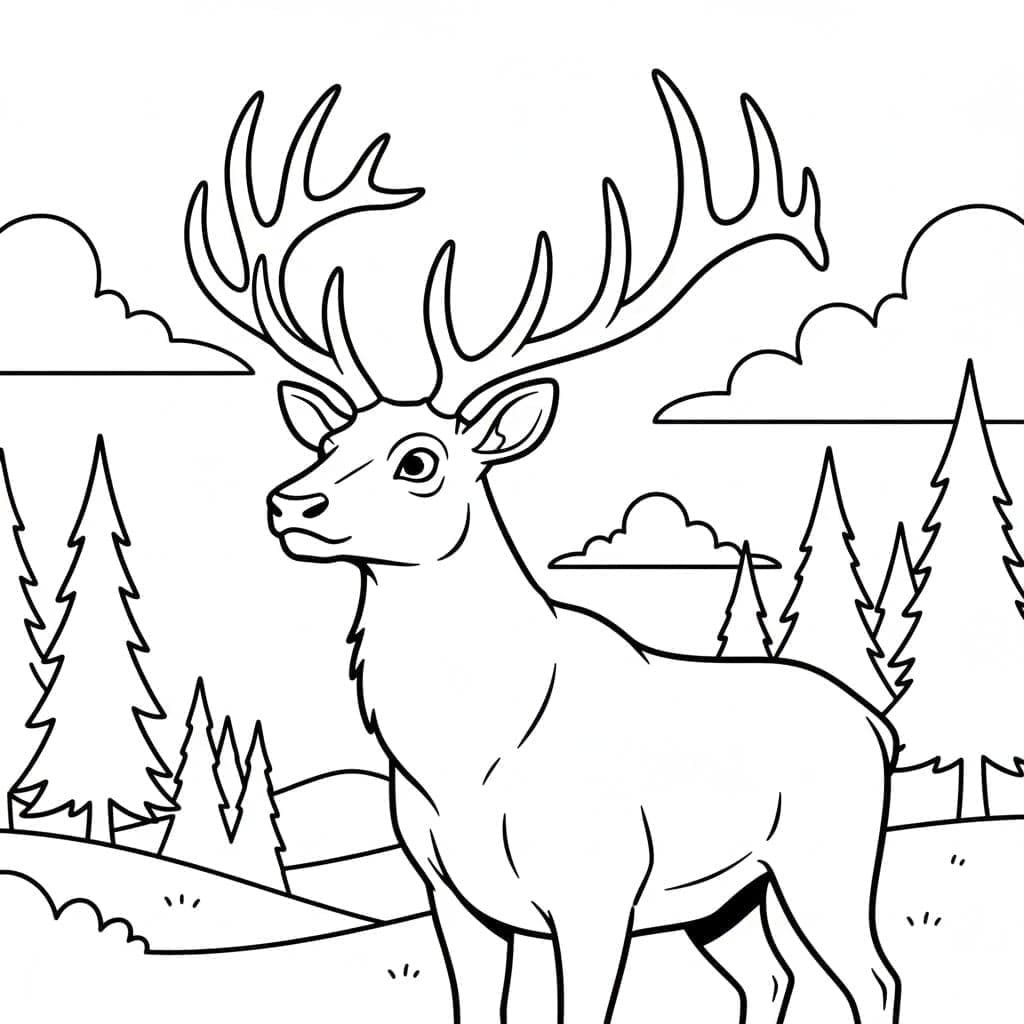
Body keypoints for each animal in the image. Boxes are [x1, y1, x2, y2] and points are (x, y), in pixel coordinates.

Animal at [186, 74, 900, 1024]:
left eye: (421, 460)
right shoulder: (452, 895)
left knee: (874, 977)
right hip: (728, 900)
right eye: (331, 439)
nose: (289, 502)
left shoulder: (597, 890)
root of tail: (877, 725)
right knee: (770, 977)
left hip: (829, 859)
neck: (463, 758)